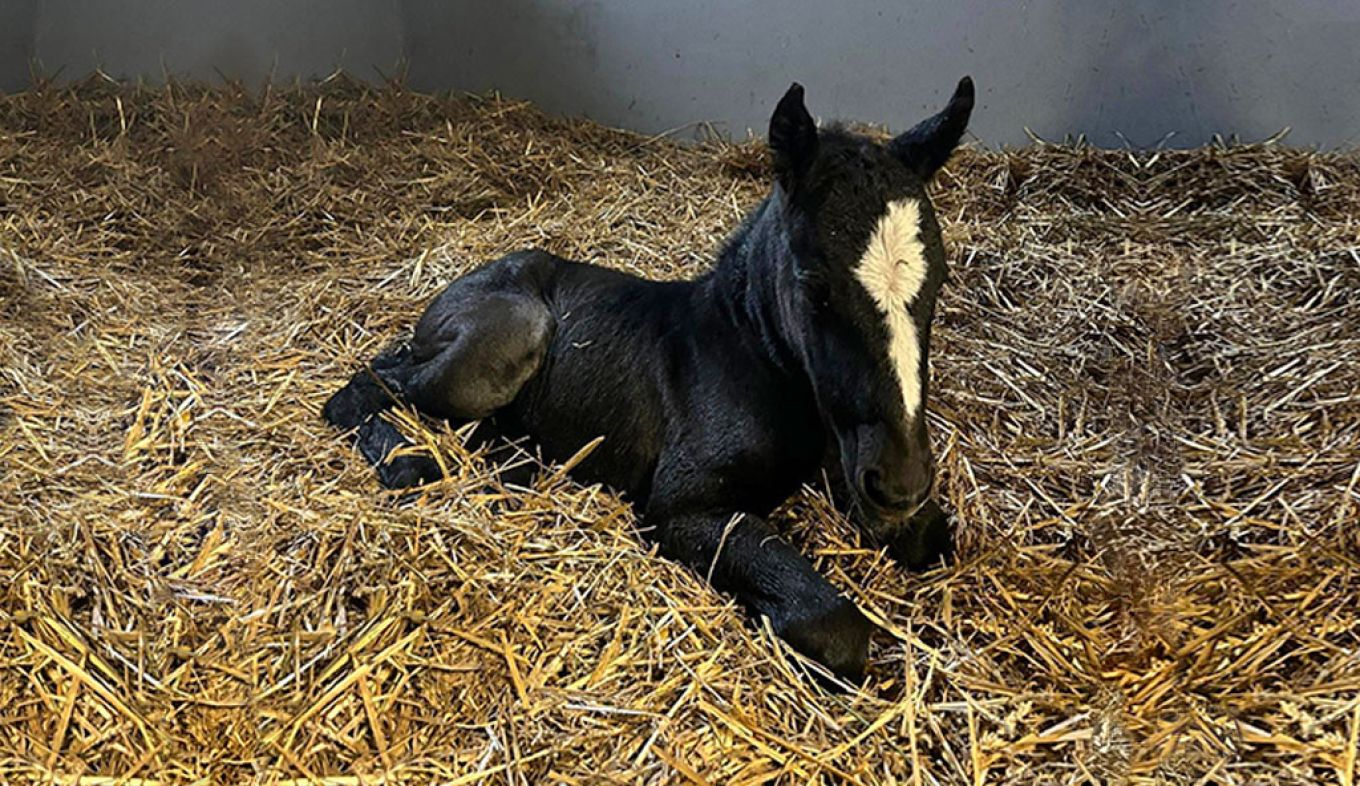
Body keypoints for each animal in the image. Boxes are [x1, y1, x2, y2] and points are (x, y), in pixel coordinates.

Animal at [323, 79, 973, 679]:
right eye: (815, 286)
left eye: (941, 279)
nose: (901, 482)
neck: (751, 354)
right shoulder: (681, 506)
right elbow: (833, 624)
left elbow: (934, 538)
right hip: (510, 337)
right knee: (365, 389)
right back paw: (414, 463)